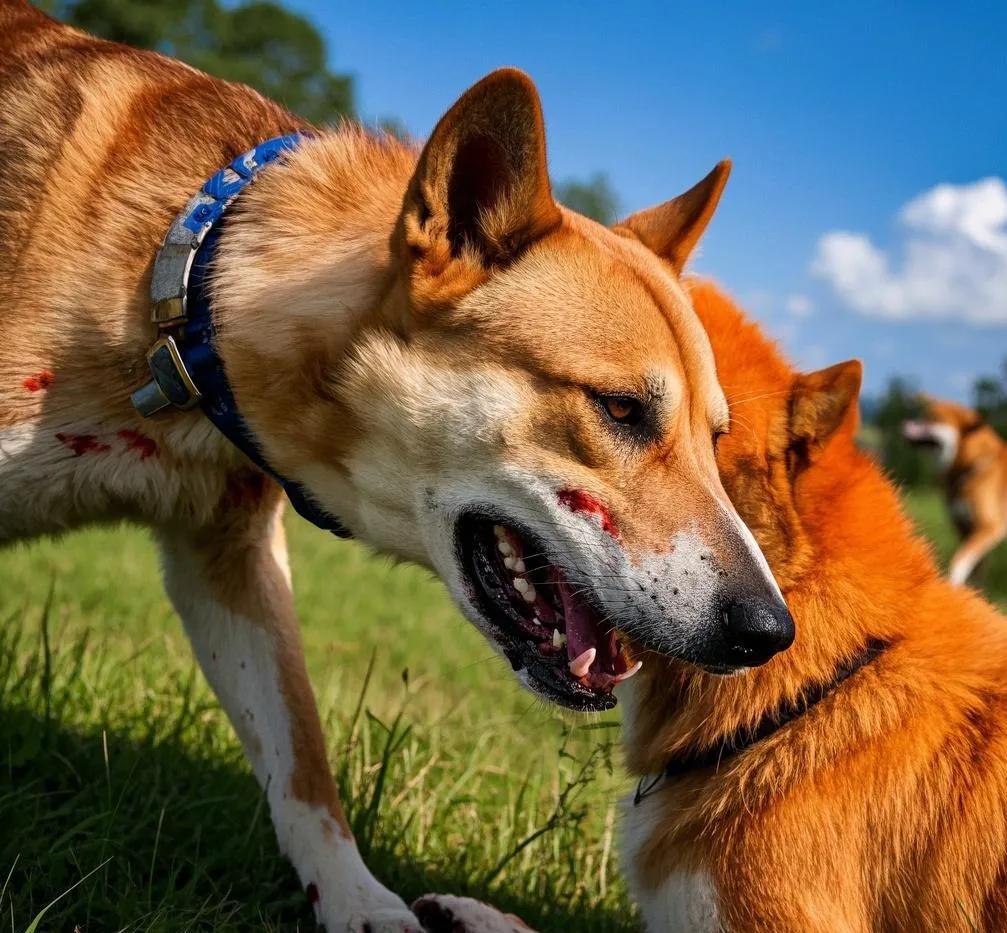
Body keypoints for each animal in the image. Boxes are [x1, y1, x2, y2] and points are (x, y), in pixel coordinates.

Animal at [0, 3, 793, 929]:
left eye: (714, 438)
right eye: (621, 409)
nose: (768, 633)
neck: (186, 296)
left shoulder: (230, 556)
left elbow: (301, 757)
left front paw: (357, 901)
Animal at [902, 398, 1002, 587]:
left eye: (934, 417)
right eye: (924, 414)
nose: (907, 423)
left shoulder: (988, 527)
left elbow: (959, 560)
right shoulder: (964, 527)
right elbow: (976, 569)